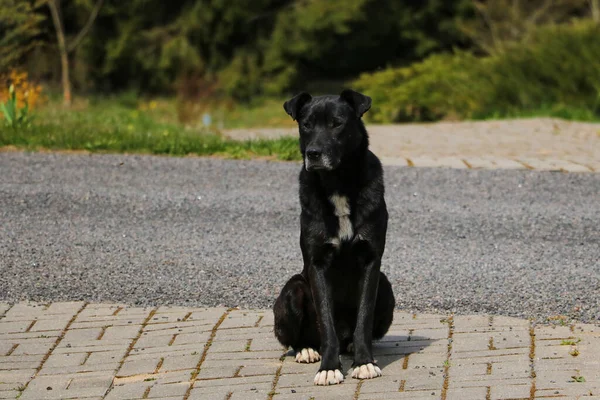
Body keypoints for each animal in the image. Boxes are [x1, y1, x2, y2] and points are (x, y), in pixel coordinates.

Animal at [274, 90, 396, 384]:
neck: (338, 183)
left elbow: (364, 317)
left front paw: (364, 362)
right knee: (303, 336)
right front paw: (329, 367)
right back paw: (307, 349)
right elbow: (326, 320)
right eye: (306, 124)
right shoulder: (317, 264)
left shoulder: (371, 261)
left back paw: (350, 346)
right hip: (292, 289)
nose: (313, 153)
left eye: (336, 124)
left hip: (386, 286)